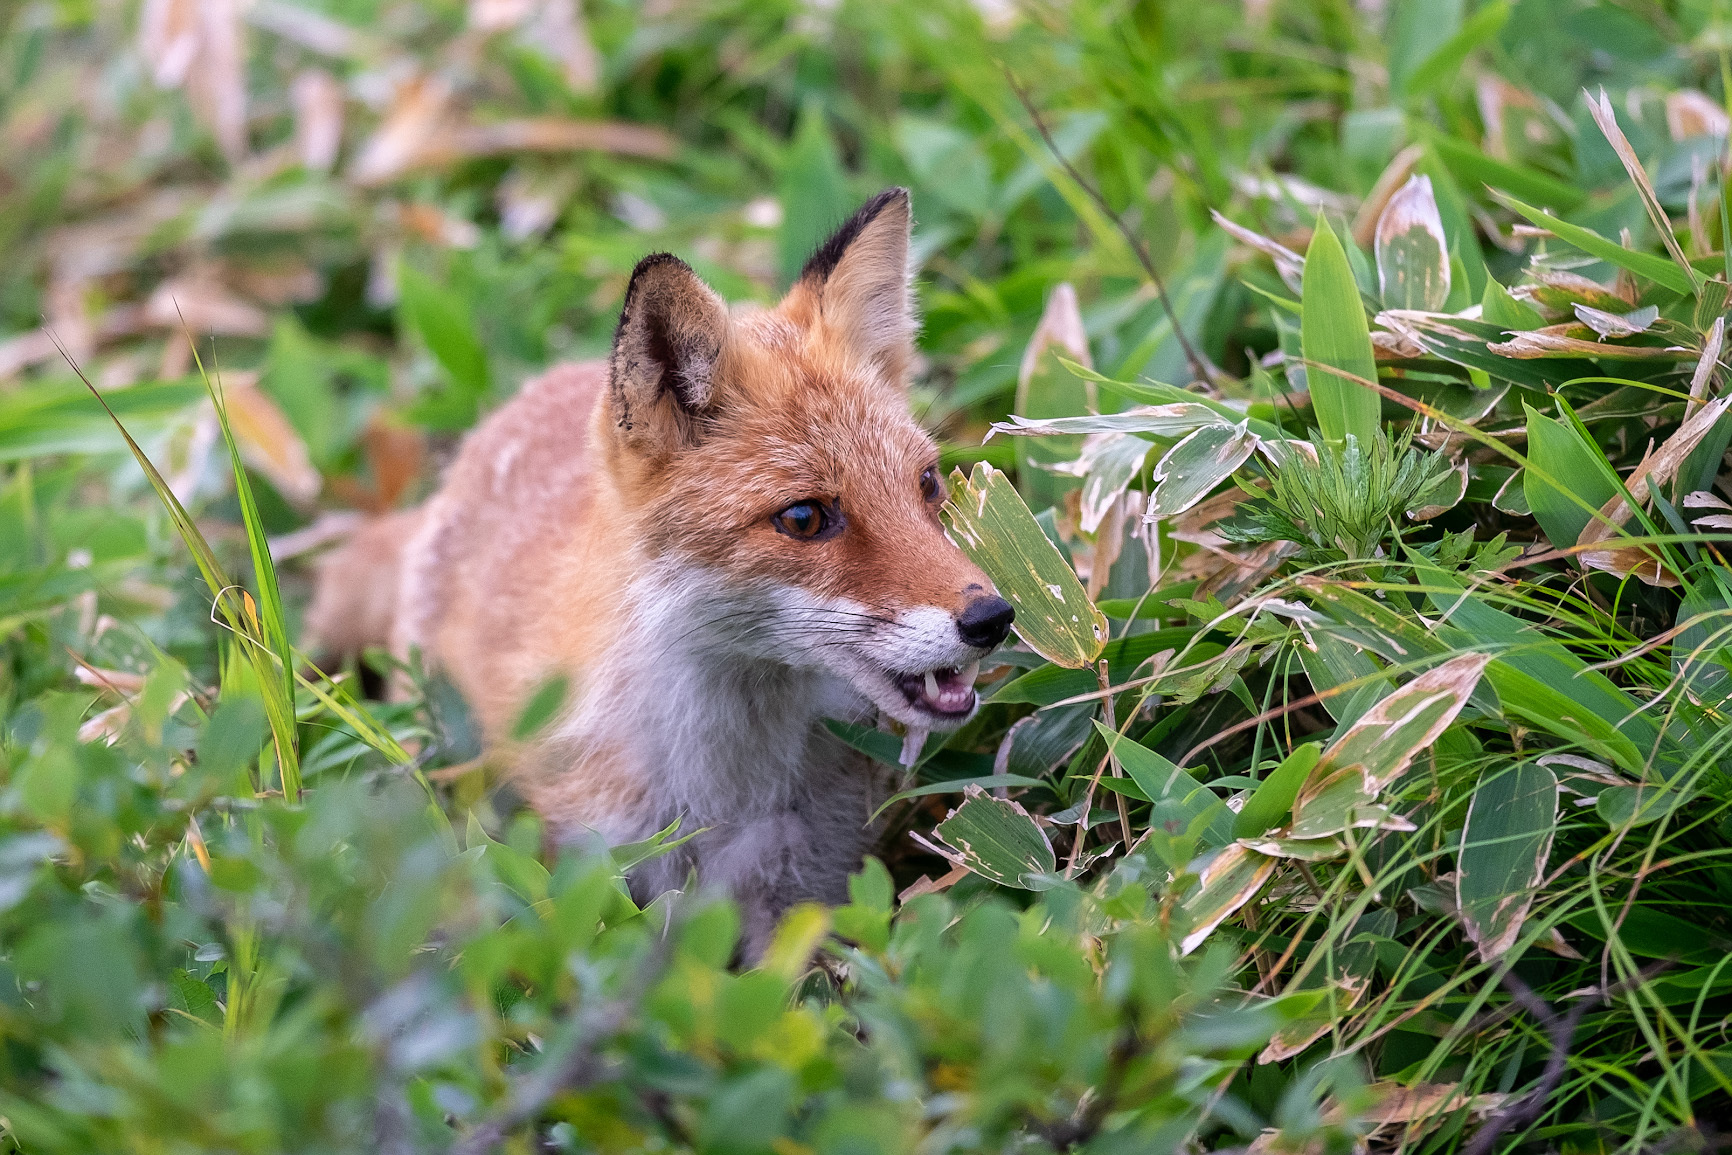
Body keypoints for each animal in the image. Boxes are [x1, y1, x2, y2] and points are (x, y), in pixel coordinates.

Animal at [308, 187, 1011, 948]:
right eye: (804, 518)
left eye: (927, 485)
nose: (993, 618)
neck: (723, 794)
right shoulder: (599, 881)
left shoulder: (806, 891)